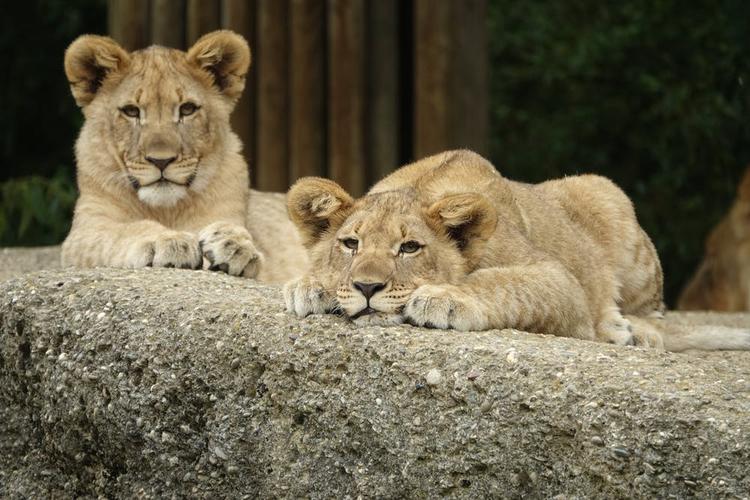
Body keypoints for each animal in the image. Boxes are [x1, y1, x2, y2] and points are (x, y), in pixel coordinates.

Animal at [61, 30, 307, 283]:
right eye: (131, 111)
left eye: (187, 109)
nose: (161, 160)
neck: (165, 210)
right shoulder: (84, 233)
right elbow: (123, 231)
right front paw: (168, 241)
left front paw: (235, 245)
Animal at [284, 150, 750, 351]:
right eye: (351, 243)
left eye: (410, 247)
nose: (367, 287)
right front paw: (309, 286)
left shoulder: (559, 279)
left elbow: (500, 283)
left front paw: (444, 299)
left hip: (609, 199)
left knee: (656, 316)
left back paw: (630, 332)